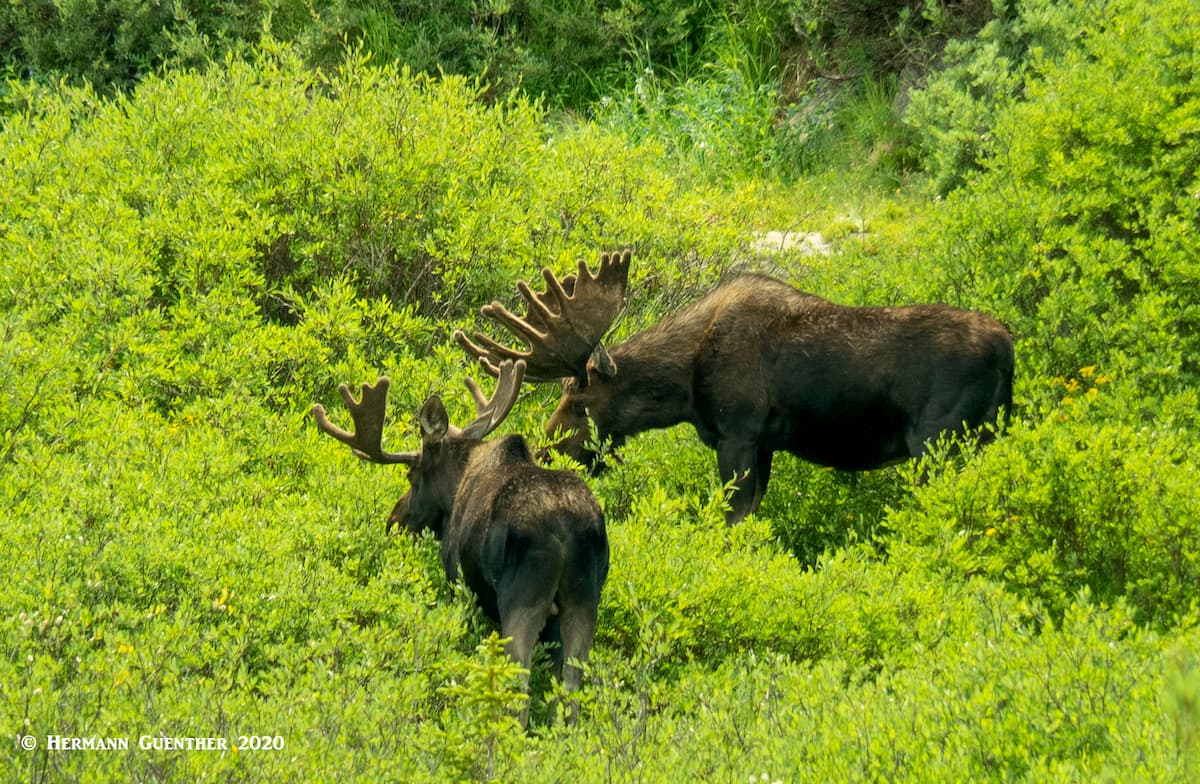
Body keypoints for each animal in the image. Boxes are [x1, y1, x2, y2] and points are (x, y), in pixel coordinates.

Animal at [311, 359, 609, 726]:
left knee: (520, 690)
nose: (393, 521)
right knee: (572, 693)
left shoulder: (461, 586)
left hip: (521, 600)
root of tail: (567, 528)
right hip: (584, 601)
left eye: (411, 474)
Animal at [455, 249, 1014, 525]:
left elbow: (732, 518)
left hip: (940, 441)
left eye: (577, 399)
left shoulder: (739, 433)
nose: (546, 451)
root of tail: (1009, 349)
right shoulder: (764, 444)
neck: (684, 385)